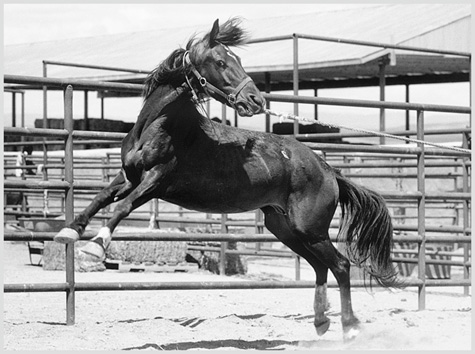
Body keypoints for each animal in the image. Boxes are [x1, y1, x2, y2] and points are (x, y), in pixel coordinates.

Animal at [56, 18, 406, 340]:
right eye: (221, 62)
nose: (255, 100)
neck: (157, 127)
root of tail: (330, 171)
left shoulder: (157, 180)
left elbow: (123, 206)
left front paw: (95, 247)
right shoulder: (129, 176)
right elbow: (101, 198)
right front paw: (69, 231)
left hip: (311, 230)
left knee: (341, 266)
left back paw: (350, 327)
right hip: (285, 228)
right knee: (322, 267)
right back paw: (321, 322)